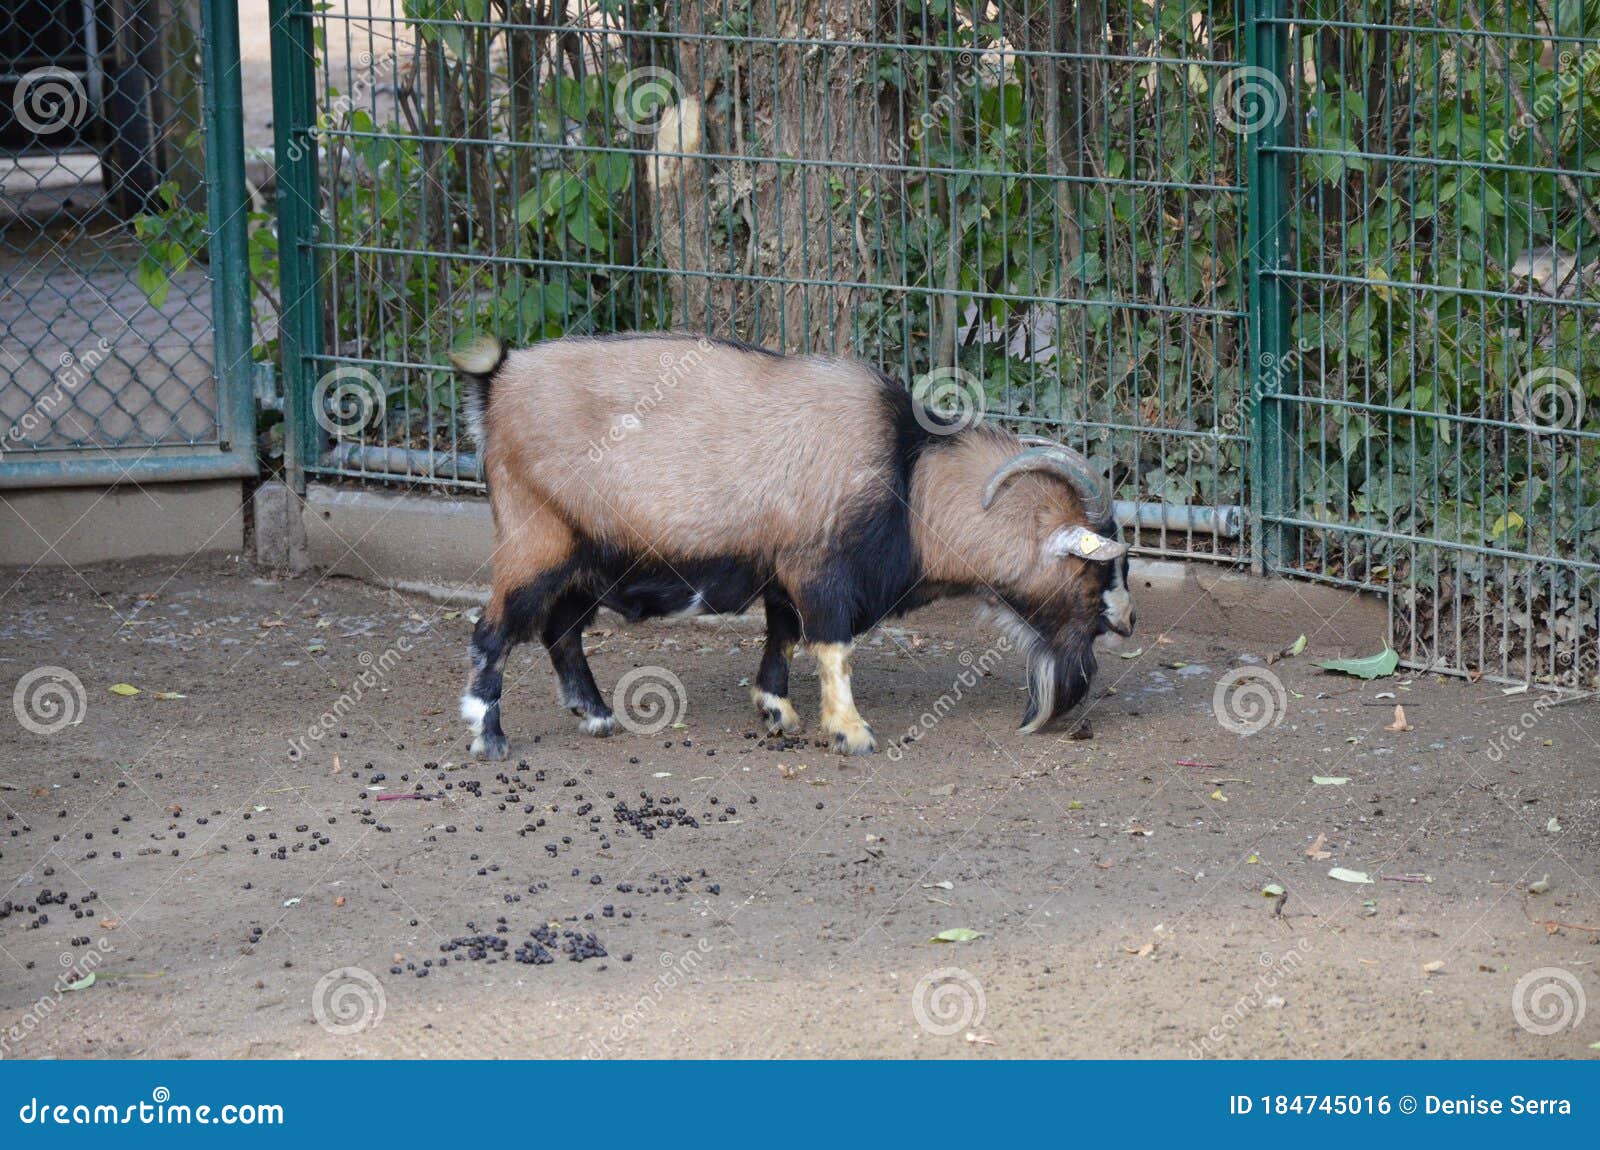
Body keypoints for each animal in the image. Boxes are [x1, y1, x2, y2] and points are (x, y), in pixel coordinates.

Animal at [444, 331, 1132, 764]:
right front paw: (851, 733)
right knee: (493, 631)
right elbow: (832, 645)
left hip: (588, 559)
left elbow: (783, 635)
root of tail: (498, 382)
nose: (1127, 622)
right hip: (537, 543)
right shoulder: (820, 570)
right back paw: (489, 736)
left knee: (561, 630)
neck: (913, 475)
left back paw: (597, 715)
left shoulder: (781, 573)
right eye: (1098, 574)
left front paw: (777, 711)